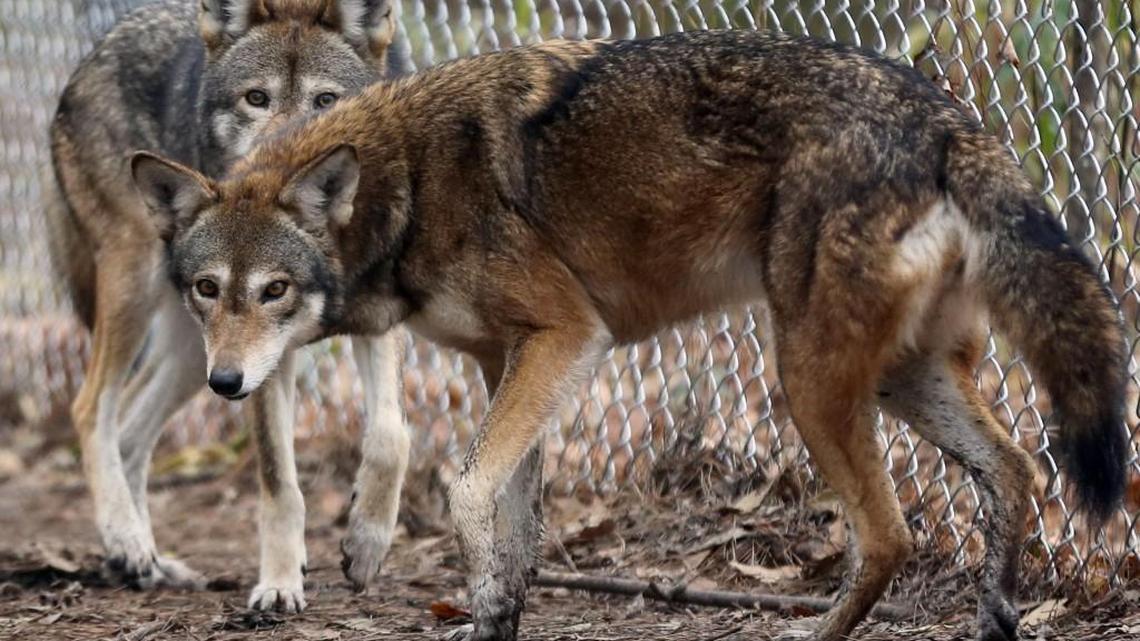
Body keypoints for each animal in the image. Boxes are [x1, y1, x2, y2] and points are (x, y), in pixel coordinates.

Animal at [48, 0, 412, 612]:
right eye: (256, 98)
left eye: (326, 100)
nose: (290, 155)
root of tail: (90, 58)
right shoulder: (264, 361)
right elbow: (280, 482)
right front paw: (280, 582)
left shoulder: (370, 319)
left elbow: (390, 434)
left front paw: (365, 544)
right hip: (145, 296)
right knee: (90, 407)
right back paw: (126, 541)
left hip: (200, 356)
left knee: (130, 434)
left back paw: (152, 564)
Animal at [131, 29, 1129, 641]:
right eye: (208, 290)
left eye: (275, 290)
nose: (226, 383)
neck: (405, 183)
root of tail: (952, 117)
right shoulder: (510, 358)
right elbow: (518, 520)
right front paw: (494, 617)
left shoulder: (567, 336)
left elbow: (465, 486)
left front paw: (475, 596)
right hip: (895, 378)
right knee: (1014, 469)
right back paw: (995, 616)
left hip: (805, 379)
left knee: (887, 535)